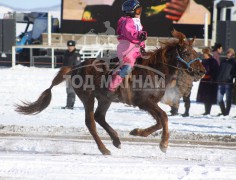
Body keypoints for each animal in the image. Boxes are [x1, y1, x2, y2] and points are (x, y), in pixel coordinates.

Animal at [15, 30, 206, 155]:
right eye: (187, 52)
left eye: (196, 52)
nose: (201, 71)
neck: (154, 69)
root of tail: (75, 67)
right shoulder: (144, 102)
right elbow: (164, 118)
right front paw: (164, 144)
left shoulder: (150, 103)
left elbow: (160, 121)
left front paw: (137, 132)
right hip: (88, 97)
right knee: (91, 122)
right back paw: (104, 148)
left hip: (104, 99)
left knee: (99, 117)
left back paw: (116, 140)